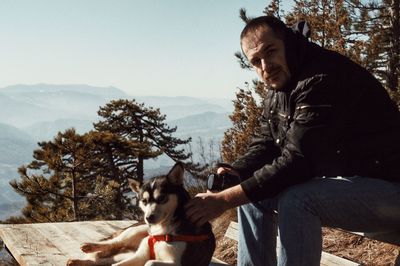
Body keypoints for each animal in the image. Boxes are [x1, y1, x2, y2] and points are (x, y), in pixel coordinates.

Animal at [67, 162, 216, 266]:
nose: (148, 218)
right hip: (135, 232)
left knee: (106, 260)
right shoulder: (141, 255)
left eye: (162, 198)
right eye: (144, 201)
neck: (164, 230)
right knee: (113, 243)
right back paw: (89, 247)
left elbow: (149, 262)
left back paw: (79, 262)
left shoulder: (177, 263)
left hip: (127, 252)